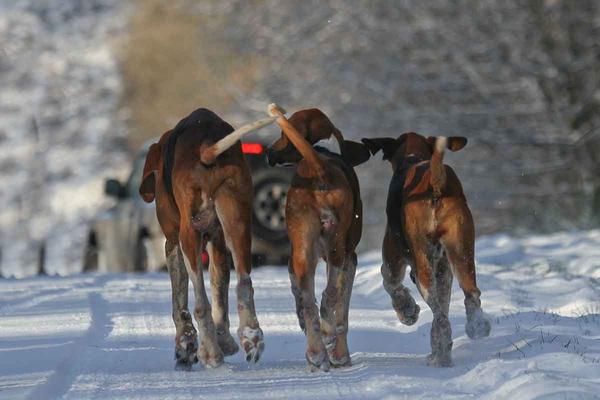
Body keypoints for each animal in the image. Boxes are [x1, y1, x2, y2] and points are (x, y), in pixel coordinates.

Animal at [141, 107, 278, 368]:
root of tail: (205, 143)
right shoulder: (218, 243)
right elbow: (220, 294)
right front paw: (224, 339)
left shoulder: (173, 244)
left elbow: (179, 304)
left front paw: (185, 346)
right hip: (238, 225)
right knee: (243, 284)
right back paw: (251, 337)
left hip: (188, 238)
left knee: (200, 303)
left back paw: (211, 353)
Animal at [264, 104, 368, 372]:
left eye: (283, 135)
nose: (268, 153)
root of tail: (318, 167)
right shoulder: (350, 257)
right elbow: (342, 312)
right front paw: (341, 355)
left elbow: (303, 300)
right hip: (336, 250)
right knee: (328, 297)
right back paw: (327, 339)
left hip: (304, 252)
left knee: (310, 303)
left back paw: (317, 352)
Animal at [364, 133, 490, 368]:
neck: (413, 157)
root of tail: (433, 180)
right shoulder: (444, 272)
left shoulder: (393, 261)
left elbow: (391, 284)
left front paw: (407, 312)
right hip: (462, 252)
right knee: (471, 295)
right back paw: (476, 328)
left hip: (422, 267)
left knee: (440, 317)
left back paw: (441, 354)